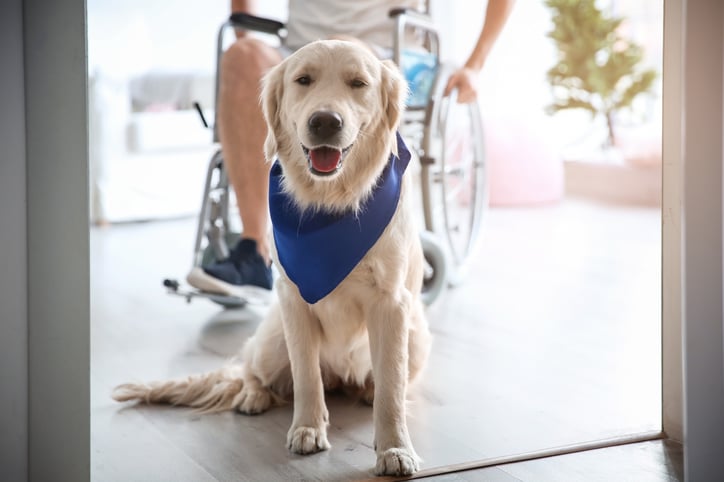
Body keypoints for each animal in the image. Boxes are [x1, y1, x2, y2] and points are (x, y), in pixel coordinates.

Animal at [112, 39, 430, 476]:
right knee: (252, 370)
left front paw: (395, 448)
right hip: (272, 341)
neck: (331, 203)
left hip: (416, 338)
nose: (325, 121)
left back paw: (364, 390)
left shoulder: (392, 303)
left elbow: (391, 389)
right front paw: (308, 427)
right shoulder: (293, 298)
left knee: (376, 380)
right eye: (303, 80)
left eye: (358, 83)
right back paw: (254, 396)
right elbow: (306, 375)